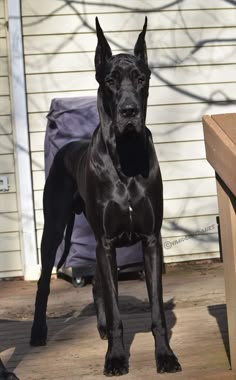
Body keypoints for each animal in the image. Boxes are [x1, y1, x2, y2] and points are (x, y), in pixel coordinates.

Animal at [30, 17, 181, 374]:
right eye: (110, 80)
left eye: (141, 78)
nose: (129, 111)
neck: (126, 155)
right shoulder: (107, 242)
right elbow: (116, 312)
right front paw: (115, 357)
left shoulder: (149, 240)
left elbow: (156, 311)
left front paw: (165, 355)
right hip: (54, 229)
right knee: (45, 283)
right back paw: (38, 332)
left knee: (98, 282)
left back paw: (98, 325)